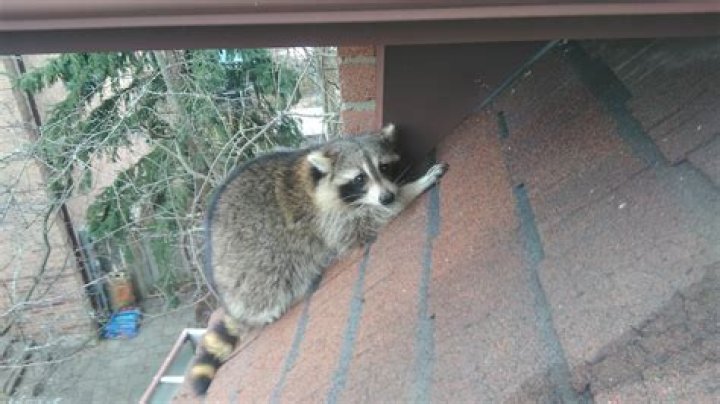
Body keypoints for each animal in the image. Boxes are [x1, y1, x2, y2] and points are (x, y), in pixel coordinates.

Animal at [189, 124, 448, 395]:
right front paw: (412, 190)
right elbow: (363, 224)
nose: (387, 197)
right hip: (253, 271)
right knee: (271, 281)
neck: (317, 179)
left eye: (384, 167)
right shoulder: (325, 220)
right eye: (359, 179)